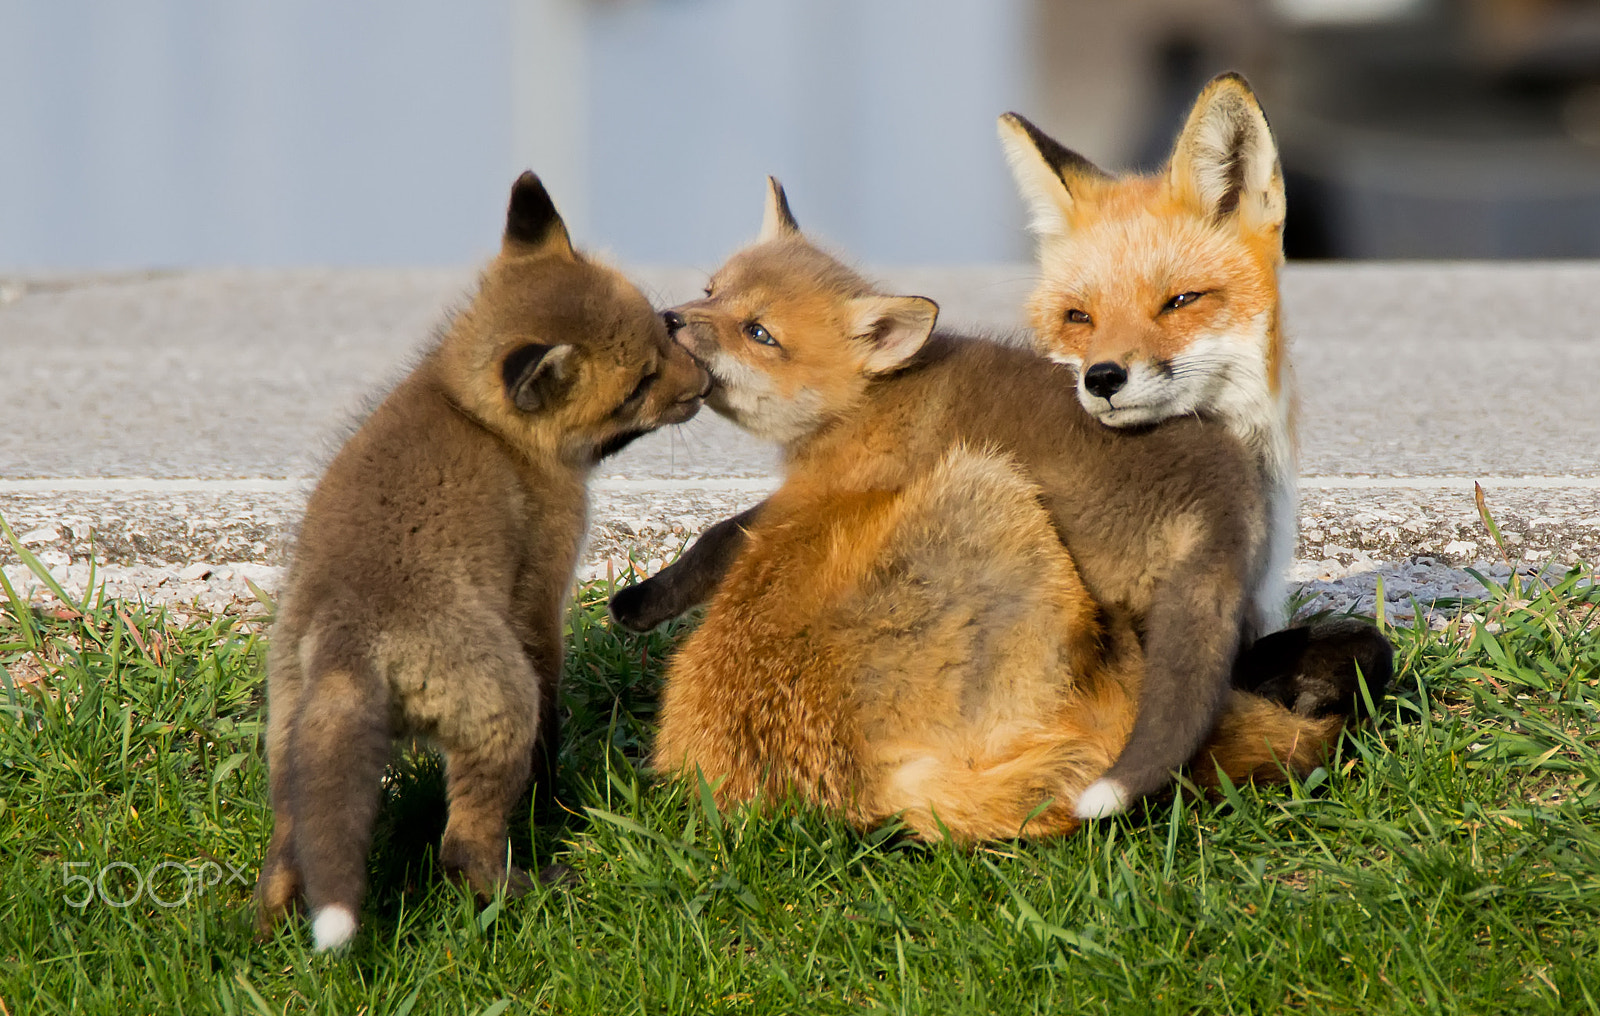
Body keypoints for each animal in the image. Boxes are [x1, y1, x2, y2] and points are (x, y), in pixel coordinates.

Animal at [253, 172, 708, 951]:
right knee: (461, 848)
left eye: (663, 326)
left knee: (288, 853)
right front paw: (555, 796)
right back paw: (530, 889)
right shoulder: (542, 589)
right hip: (501, 708)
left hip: (290, 745)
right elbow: (554, 699)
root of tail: (350, 634)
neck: (479, 418)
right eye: (640, 384)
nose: (707, 378)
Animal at [622, 180, 1388, 829]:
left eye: (759, 333)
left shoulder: (823, 492)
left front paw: (640, 601)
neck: (870, 401)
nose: (669, 318)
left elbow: (721, 537)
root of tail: (1218, 501)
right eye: (711, 291)